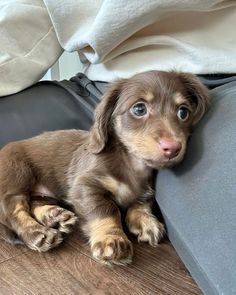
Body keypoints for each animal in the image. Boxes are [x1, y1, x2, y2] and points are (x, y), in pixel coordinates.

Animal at [0, 71, 210, 266]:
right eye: (139, 109)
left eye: (183, 112)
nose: (173, 148)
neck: (131, 164)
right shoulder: (85, 186)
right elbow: (106, 210)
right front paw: (111, 238)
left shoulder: (144, 192)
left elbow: (139, 206)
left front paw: (146, 221)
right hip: (17, 176)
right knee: (14, 211)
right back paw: (36, 232)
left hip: (44, 192)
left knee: (34, 203)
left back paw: (54, 216)